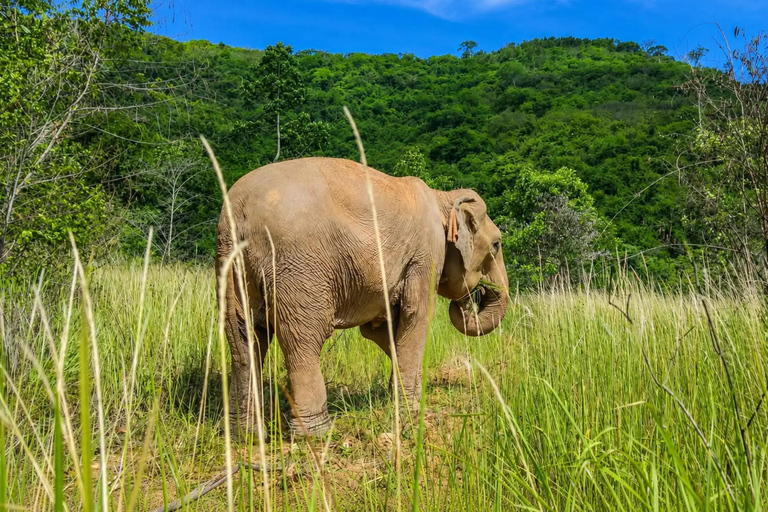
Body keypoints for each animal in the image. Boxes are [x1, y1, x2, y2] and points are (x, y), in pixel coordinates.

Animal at [216, 157, 509, 437]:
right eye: (496, 245)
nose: (473, 296)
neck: (443, 198)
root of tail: (238, 213)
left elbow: (381, 329)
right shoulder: (426, 253)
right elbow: (416, 316)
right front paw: (412, 409)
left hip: (230, 266)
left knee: (245, 338)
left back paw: (247, 433)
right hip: (296, 267)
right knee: (303, 338)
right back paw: (316, 433)